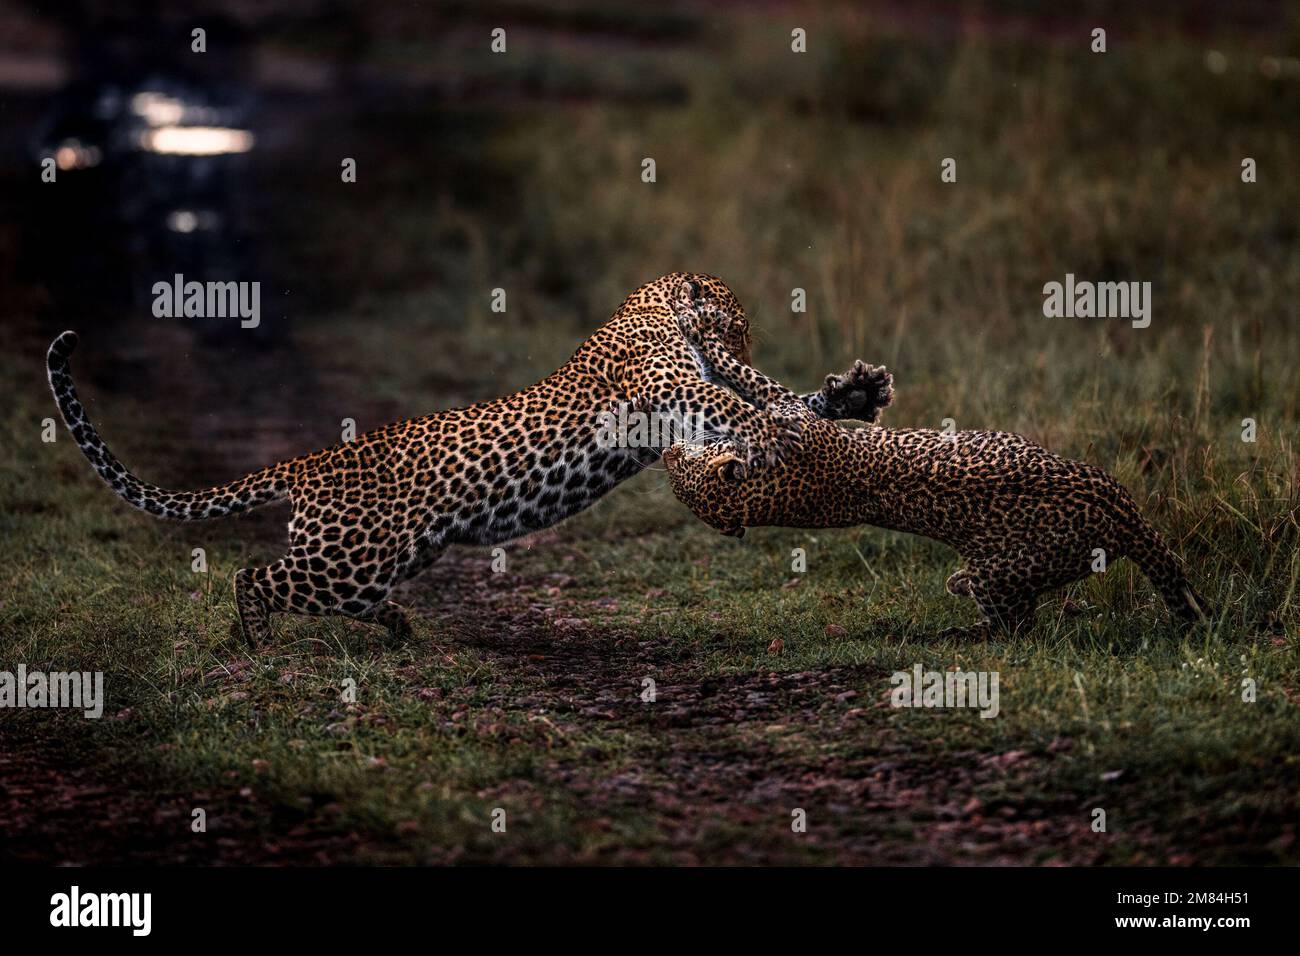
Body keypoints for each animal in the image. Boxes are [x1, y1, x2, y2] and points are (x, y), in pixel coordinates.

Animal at [45, 269, 857, 647]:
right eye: (739, 324)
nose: (745, 345)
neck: (649, 306)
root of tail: (308, 464)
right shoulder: (671, 390)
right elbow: (739, 407)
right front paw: (786, 428)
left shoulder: (680, 409)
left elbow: (767, 406)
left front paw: (842, 399)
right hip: (348, 557)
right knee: (256, 575)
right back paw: (260, 640)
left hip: (382, 560)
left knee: (337, 595)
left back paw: (398, 627)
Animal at [665, 299, 1211, 639]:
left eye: (682, 473)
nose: (670, 452)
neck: (758, 495)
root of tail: (1121, 513)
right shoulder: (788, 417)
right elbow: (746, 374)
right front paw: (699, 329)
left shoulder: (787, 415)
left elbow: (746, 375)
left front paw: (697, 326)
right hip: (1008, 573)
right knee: (1014, 627)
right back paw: (961, 608)